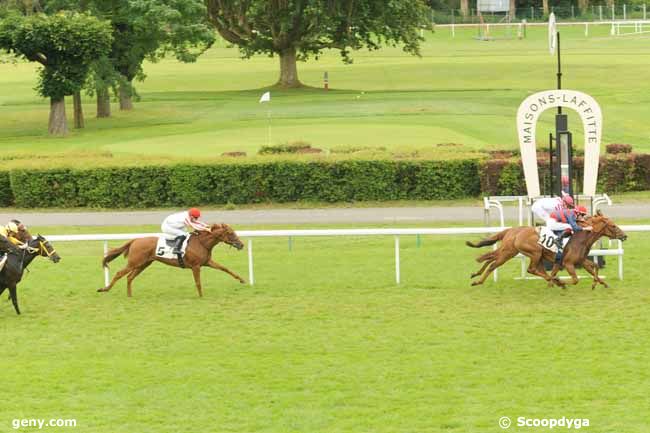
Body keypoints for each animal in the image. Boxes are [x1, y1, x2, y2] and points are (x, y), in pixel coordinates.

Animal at [98, 223, 246, 296]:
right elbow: (198, 282)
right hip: (135, 263)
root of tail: (135, 240)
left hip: (144, 264)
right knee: (119, 274)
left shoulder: (207, 262)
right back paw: (104, 289)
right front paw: (201, 296)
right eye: (230, 233)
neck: (201, 243)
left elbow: (225, 268)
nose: (241, 244)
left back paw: (129, 295)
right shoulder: (196, 266)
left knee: (129, 277)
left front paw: (242, 279)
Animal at [468, 209, 624, 286]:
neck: (582, 237)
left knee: (490, 257)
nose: (624, 235)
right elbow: (575, 279)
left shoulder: (580, 261)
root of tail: (512, 230)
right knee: (525, 268)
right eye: (613, 225)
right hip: (528, 252)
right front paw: (560, 282)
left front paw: (601, 283)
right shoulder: (568, 263)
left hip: (512, 251)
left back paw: (476, 276)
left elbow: (594, 267)